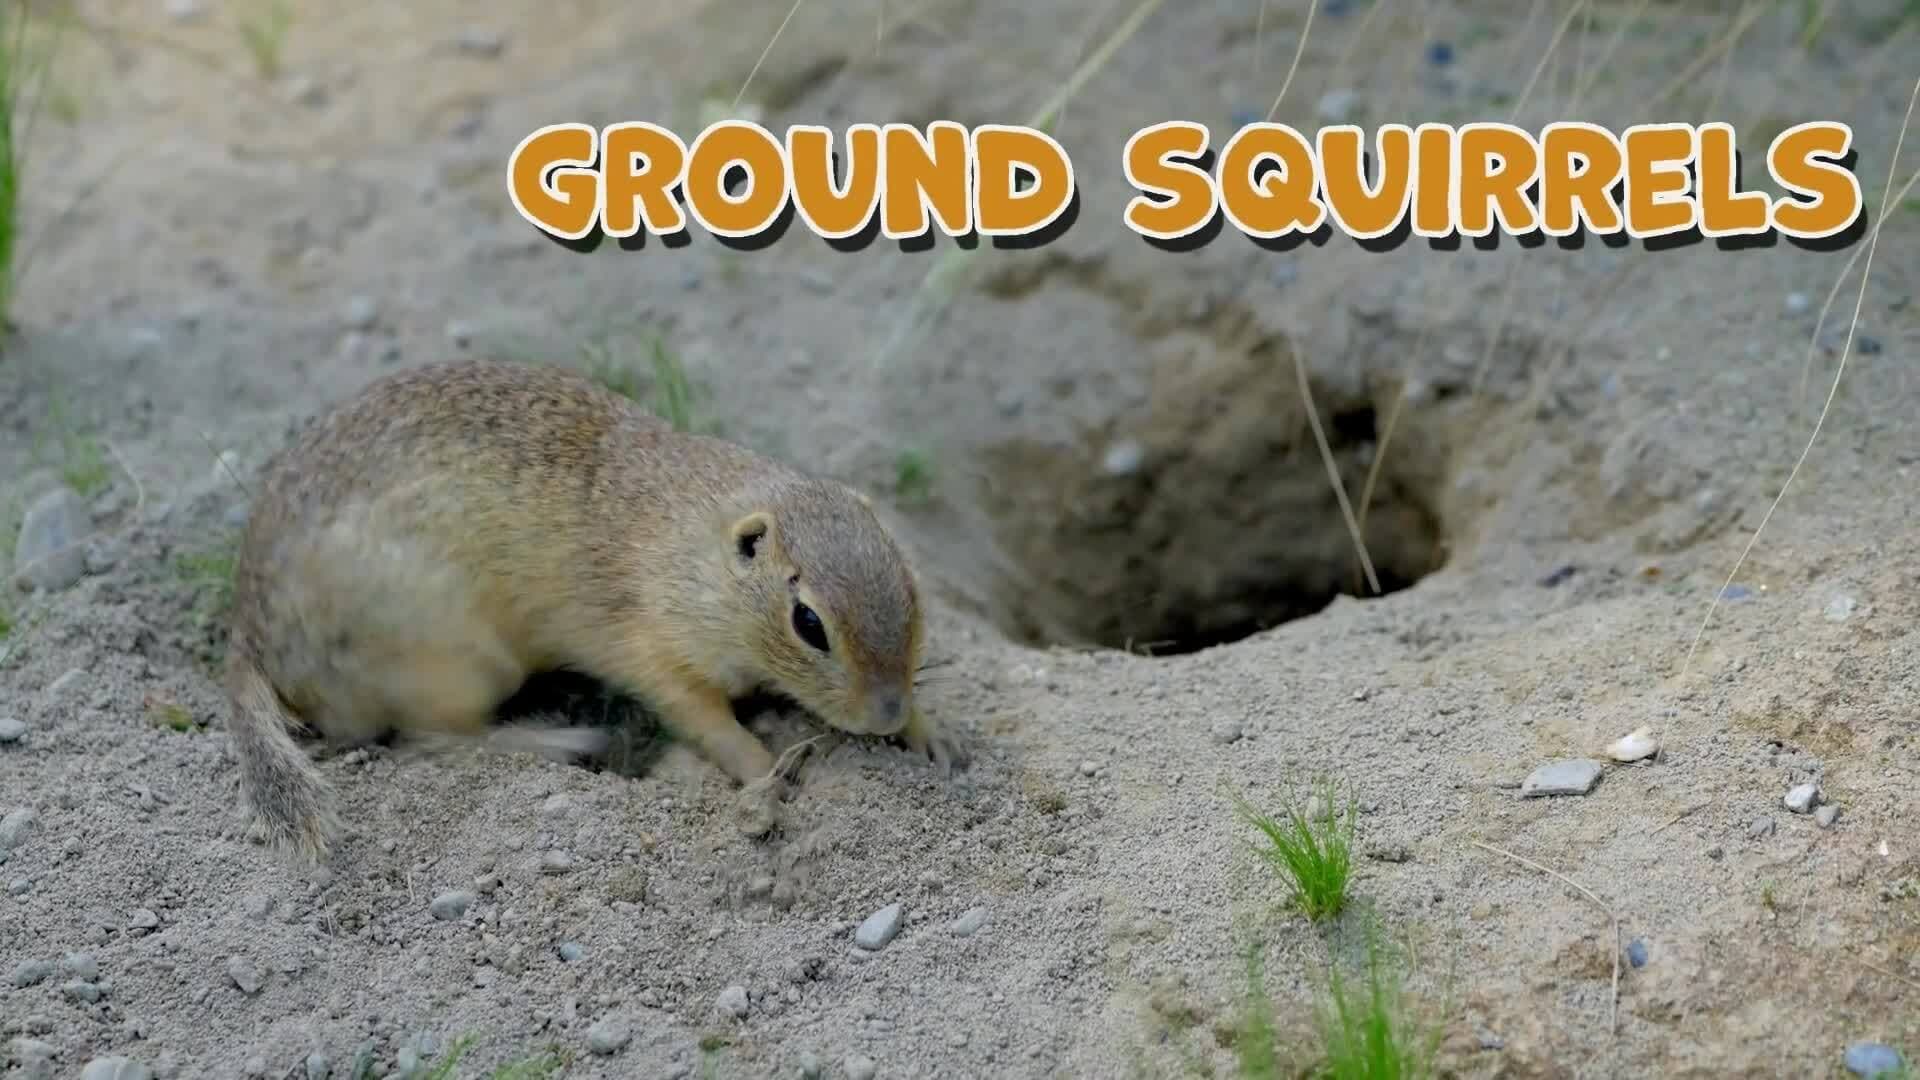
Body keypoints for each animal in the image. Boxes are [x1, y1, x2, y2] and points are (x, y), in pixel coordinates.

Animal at [222, 358, 960, 863]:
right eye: (809, 623)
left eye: (912, 584)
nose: (885, 711)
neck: (696, 551)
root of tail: (251, 637)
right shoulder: (652, 647)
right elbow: (703, 719)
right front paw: (765, 772)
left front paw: (932, 733)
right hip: (460, 662)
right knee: (433, 738)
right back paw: (572, 741)